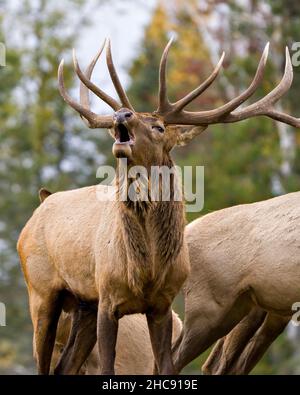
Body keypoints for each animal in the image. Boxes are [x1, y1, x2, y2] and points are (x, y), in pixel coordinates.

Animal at [17, 38, 300, 376]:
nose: (122, 115)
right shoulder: (108, 299)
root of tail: (38, 210)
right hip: (44, 293)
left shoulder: (161, 305)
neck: (147, 269)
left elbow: (164, 367)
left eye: (159, 127)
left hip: (88, 304)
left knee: (65, 366)